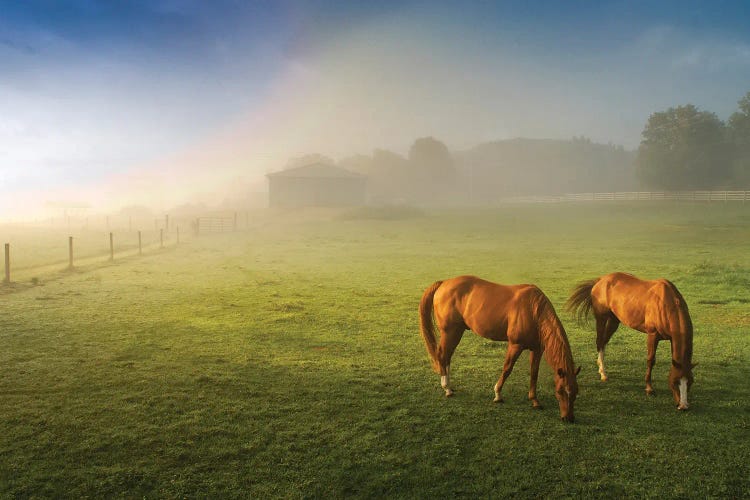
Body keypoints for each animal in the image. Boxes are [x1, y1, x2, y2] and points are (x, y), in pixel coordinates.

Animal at [424, 276, 580, 424]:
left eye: (575, 392)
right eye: (560, 391)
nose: (569, 418)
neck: (533, 310)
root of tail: (444, 283)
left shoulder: (537, 349)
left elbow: (534, 373)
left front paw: (534, 400)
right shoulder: (515, 345)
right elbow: (507, 369)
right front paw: (498, 394)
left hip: (457, 331)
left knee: (447, 356)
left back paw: (449, 386)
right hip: (450, 331)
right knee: (442, 355)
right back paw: (447, 388)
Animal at [568, 274, 696, 410]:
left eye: (690, 381)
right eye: (675, 382)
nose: (683, 406)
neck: (666, 303)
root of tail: (601, 280)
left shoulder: (672, 339)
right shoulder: (653, 335)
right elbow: (651, 360)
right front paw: (649, 388)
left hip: (614, 320)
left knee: (604, 341)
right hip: (601, 318)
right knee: (600, 342)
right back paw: (603, 373)